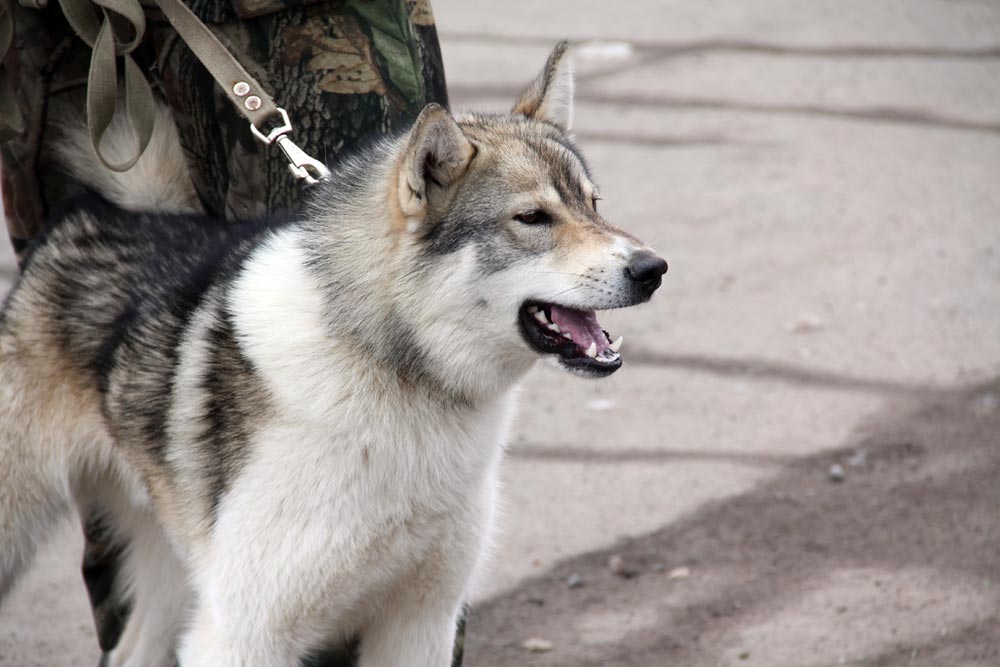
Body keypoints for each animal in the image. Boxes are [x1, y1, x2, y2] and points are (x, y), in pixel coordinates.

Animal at [0, 43, 667, 666]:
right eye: (532, 217)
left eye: (593, 204)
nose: (653, 269)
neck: (395, 375)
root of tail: (108, 212)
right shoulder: (244, 634)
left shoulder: (421, 624)